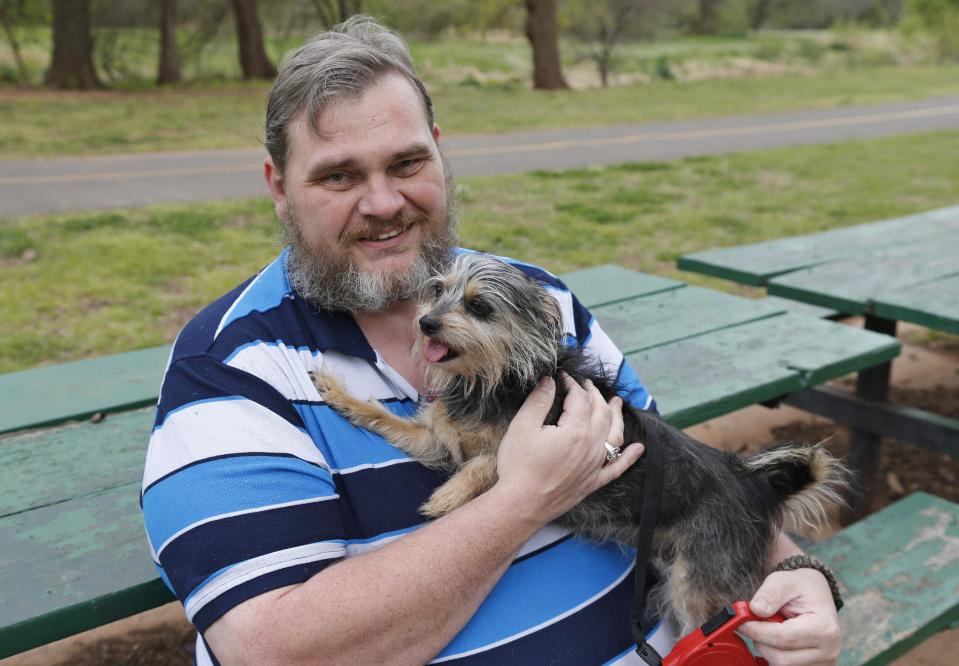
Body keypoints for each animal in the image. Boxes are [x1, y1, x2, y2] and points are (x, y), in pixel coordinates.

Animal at [316, 252, 848, 632]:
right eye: (437, 291)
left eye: (478, 306)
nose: (425, 322)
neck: (494, 380)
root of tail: (754, 487)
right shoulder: (436, 438)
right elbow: (383, 415)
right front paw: (335, 391)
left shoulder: (528, 442)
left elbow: (489, 462)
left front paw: (446, 497)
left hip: (696, 585)